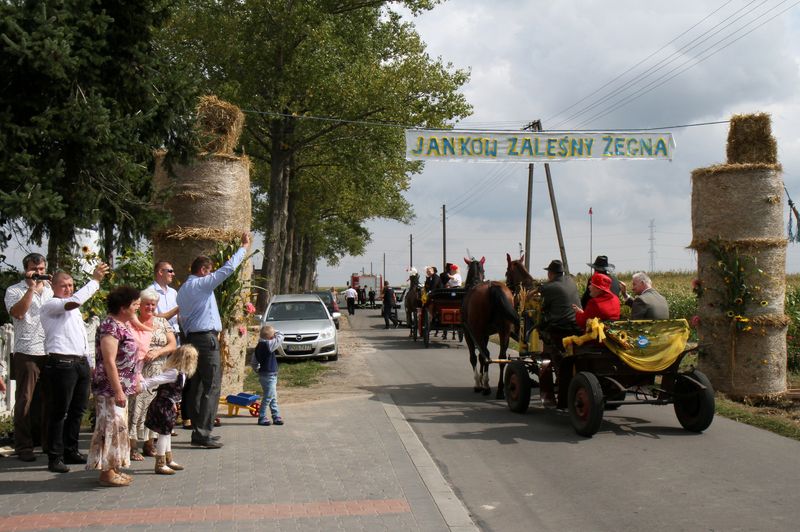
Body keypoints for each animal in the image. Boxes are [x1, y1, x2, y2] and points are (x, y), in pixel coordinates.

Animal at [462, 256, 520, 396]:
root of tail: (492, 287)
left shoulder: (469, 333)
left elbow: (474, 357)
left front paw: (479, 383)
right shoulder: (485, 334)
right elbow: (481, 357)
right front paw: (482, 380)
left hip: (478, 331)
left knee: (487, 355)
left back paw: (487, 386)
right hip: (504, 330)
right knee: (501, 358)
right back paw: (499, 389)